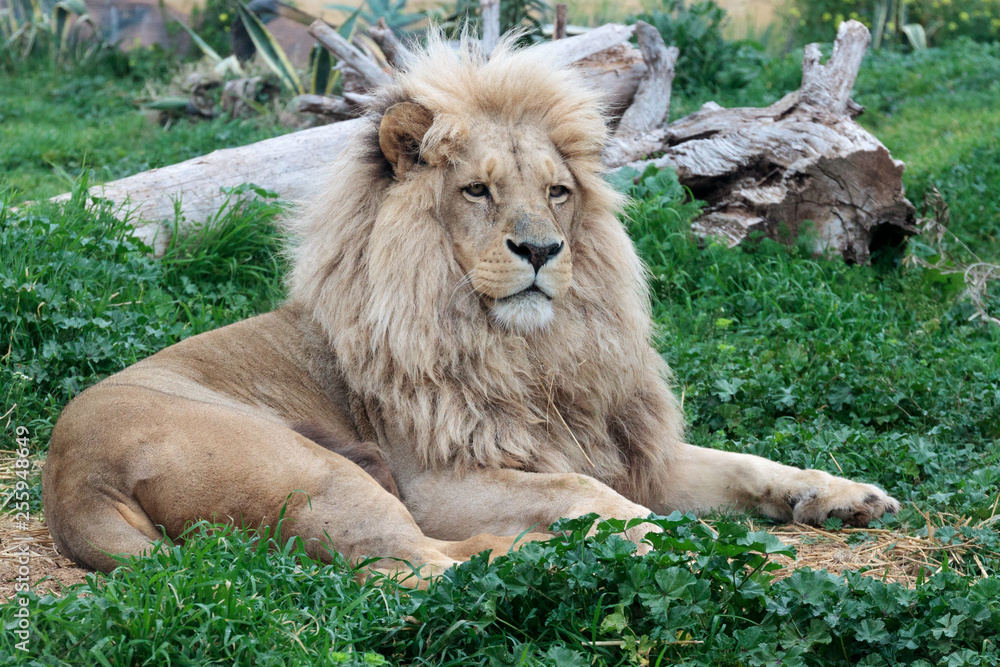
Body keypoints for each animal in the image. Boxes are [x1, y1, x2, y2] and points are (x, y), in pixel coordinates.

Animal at [42, 34, 900, 577]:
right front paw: (698, 545)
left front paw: (842, 494)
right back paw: (547, 556)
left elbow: (744, 463)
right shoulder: (441, 480)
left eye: (558, 192)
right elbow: (587, 495)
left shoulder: (629, 449)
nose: (541, 250)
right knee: (414, 566)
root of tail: (71, 478)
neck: (532, 354)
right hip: (324, 472)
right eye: (479, 190)